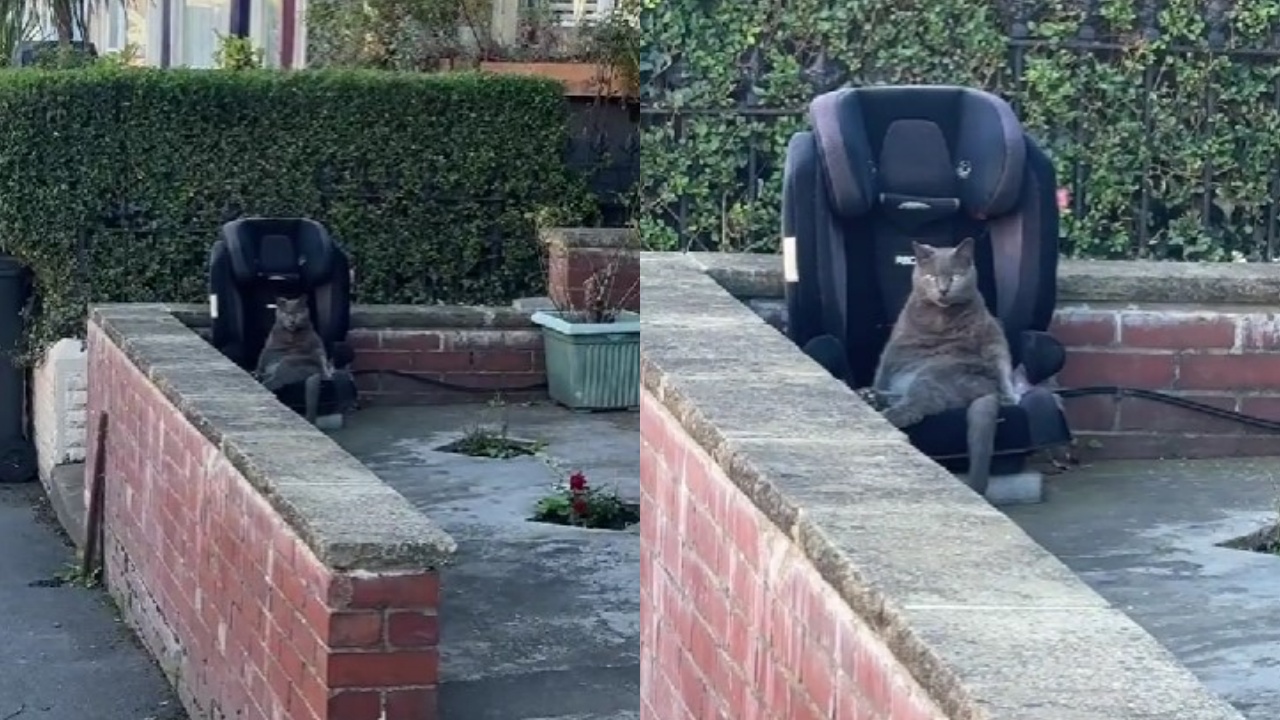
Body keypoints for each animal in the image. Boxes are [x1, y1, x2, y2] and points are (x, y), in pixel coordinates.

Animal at [253, 294, 332, 422]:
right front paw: (257, 371)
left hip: (288, 362)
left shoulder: (316, 345)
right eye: (286, 312)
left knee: (276, 382)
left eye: (298, 312)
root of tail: (316, 372)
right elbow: (262, 358)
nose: (292, 320)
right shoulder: (269, 347)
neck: (290, 334)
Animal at [875, 238, 1013, 497]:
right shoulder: (896, 345)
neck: (939, 317)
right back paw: (871, 396)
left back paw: (889, 413)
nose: (943, 290)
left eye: (956, 276)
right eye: (930, 276)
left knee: (923, 403)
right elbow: (882, 370)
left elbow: (1001, 355)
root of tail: (989, 389)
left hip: (935, 373)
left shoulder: (990, 332)